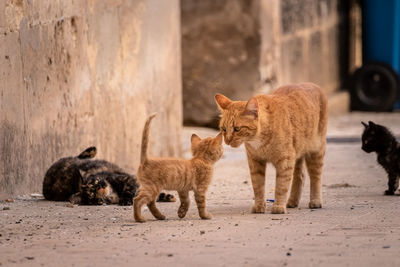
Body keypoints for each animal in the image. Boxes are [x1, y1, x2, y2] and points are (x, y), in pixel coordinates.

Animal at [43, 148, 176, 206]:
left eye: (95, 182)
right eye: (92, 194)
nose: (101, 186)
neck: (113, 194)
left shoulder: (129, 179)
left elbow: (131, 189)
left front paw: (168, 196)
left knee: (80, 156)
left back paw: (92, 150)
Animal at [214, 82, 326, 215]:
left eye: (237, 129)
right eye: (224, 129)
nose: (227, 140)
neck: (259, 141)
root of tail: (312, 84)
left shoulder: (285, 162)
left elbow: (281, 186)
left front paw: (278, 206)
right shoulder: (255, 162)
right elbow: (258, 186)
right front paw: (259, 206)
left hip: (316, 151)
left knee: (316, 177)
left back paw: (315, 201)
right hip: (298, 153)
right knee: (300, 176)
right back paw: (292, 201)